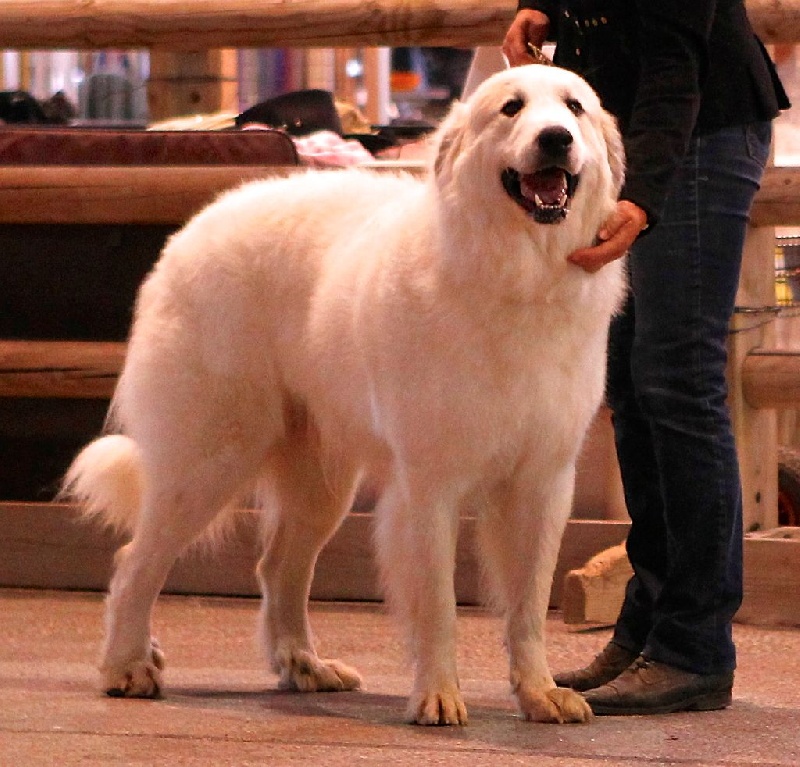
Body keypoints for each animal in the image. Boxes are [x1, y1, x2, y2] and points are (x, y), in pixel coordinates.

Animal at [63, 64, 626, 725]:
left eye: (574, 108)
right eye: (511, 108)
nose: (556, 138)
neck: (518, 275)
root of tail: (192, 231)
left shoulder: (542, 482)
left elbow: (530, 606)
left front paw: (539, 692)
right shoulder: (428, 485)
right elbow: (437, 605)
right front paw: (438, 695)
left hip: (319, 484)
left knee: (279, 568)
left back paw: (305, 666)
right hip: (209, 460)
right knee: (136, 562)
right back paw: (127, 666)